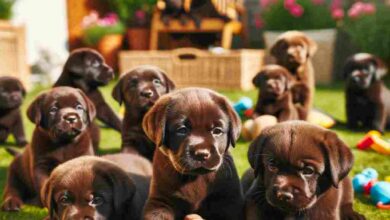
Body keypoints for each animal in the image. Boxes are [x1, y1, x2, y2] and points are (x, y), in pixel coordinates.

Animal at [140, 88, 244, 220]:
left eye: (217, 131)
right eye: (182, 130)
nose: (201, 154)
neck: (194, 177)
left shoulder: (229, 201)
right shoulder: (160, 201)